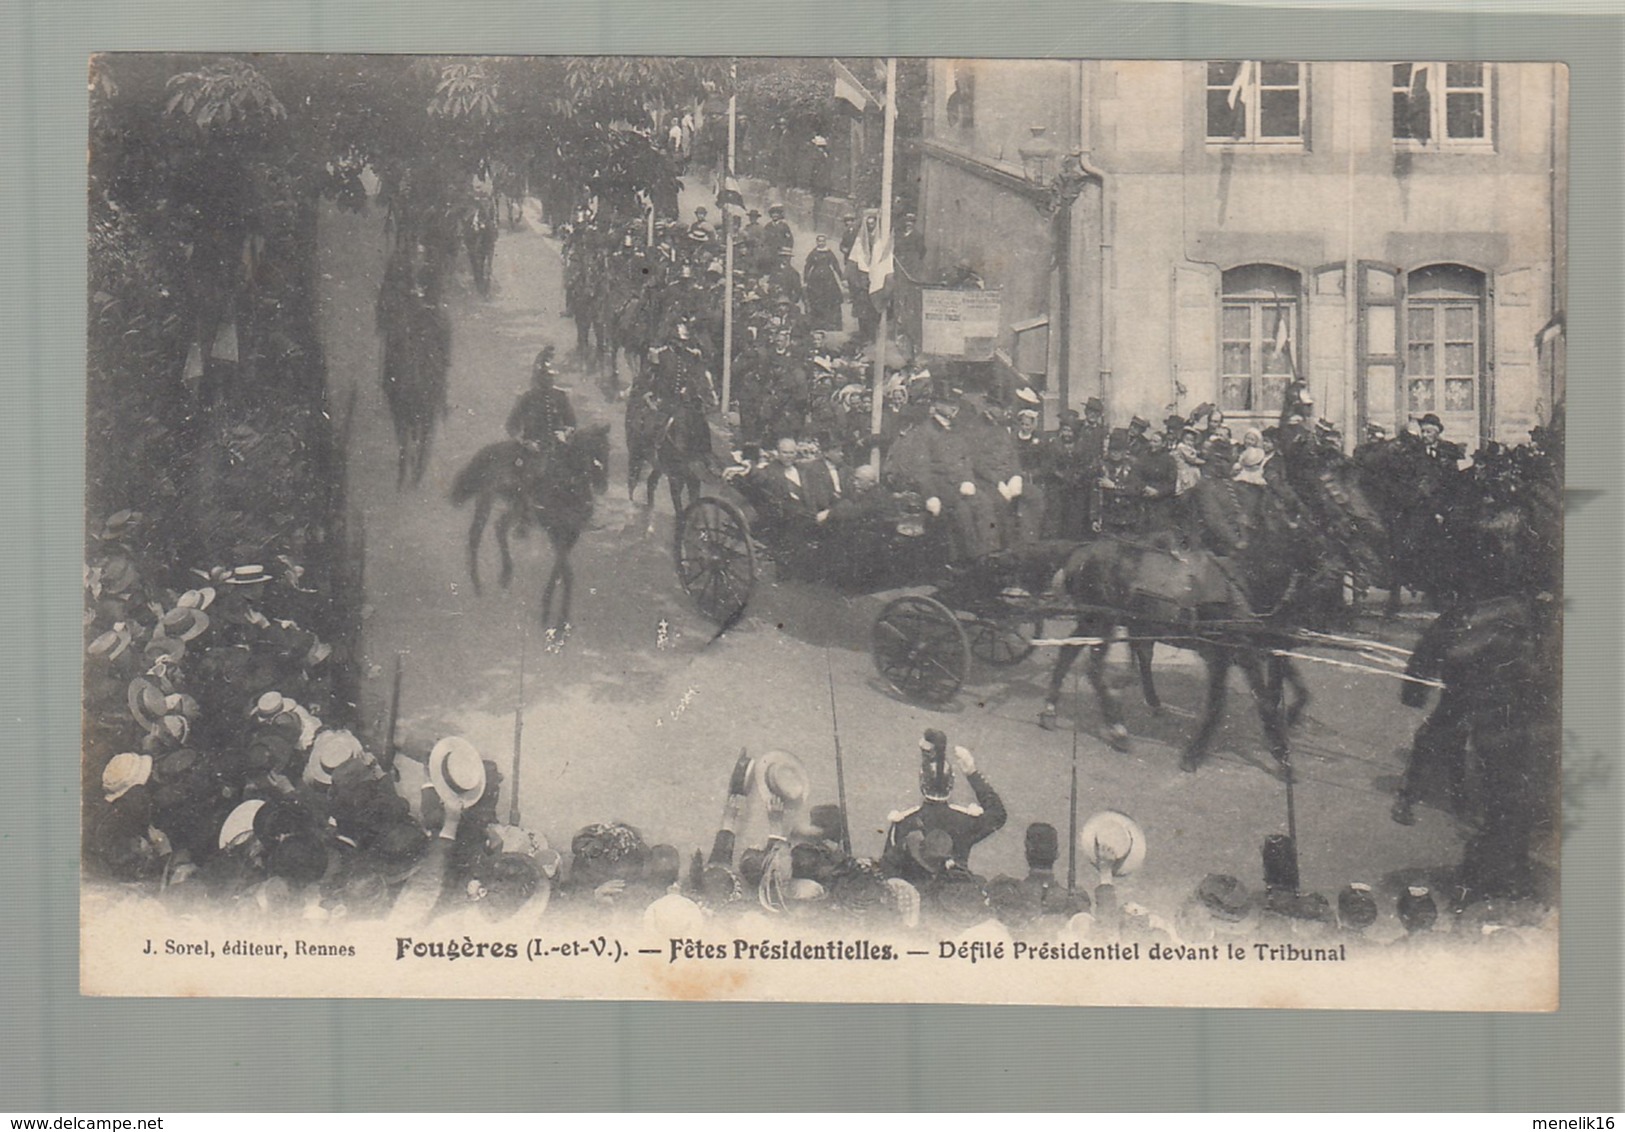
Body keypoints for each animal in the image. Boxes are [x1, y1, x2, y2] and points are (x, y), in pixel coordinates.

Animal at [448, 425, 611, 636]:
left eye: (607, 450)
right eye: (585, 453)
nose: (602, 486)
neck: (567, 488)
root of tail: (489, 450)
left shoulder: (571, 534)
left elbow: (560, 570)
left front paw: (552, 613)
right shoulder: (553, 530)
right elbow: (566, 573)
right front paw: (557, 619)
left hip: (517, 505)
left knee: (500, 526)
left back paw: (506, 573)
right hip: (486, 498)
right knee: (475, 536)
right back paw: (477, 584)